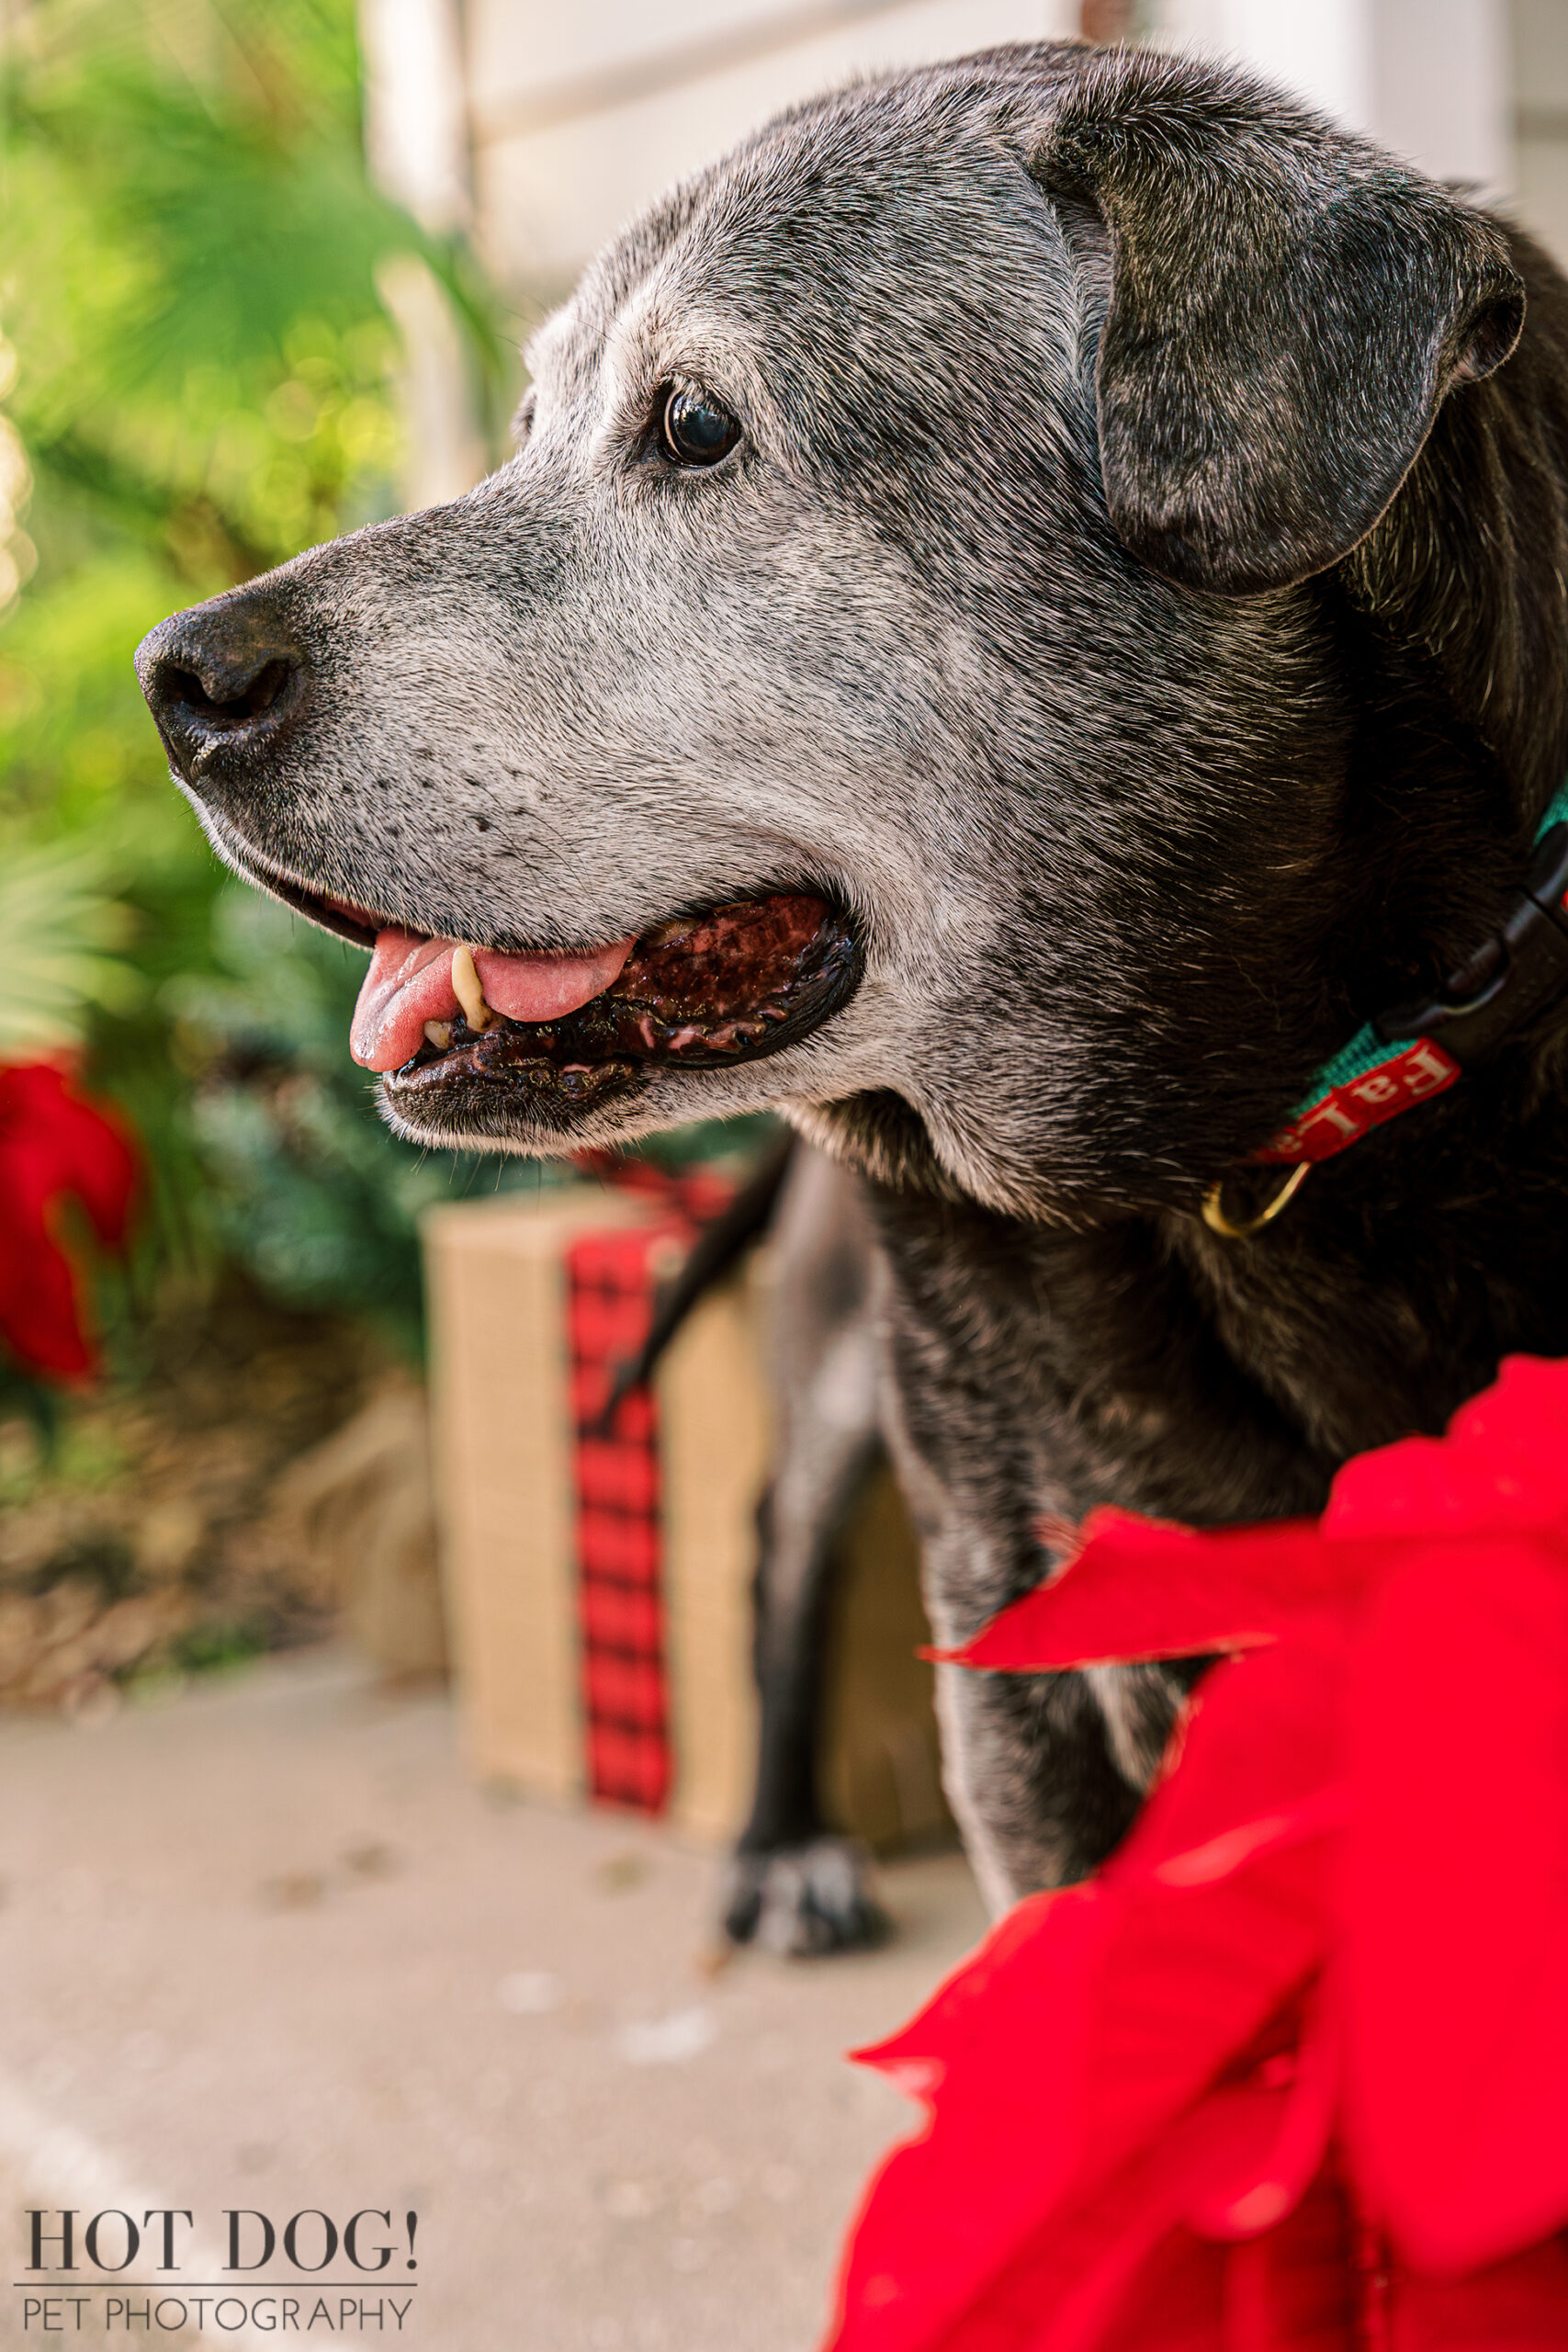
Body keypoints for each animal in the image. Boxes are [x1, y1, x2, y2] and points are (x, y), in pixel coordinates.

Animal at [135, 45, 1568, 1918]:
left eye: (693, 426)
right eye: (522, 429)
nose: (174, 678)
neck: (1245, 1146)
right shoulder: (1030, 1670)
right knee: (772, 1548)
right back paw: (782, 1840)